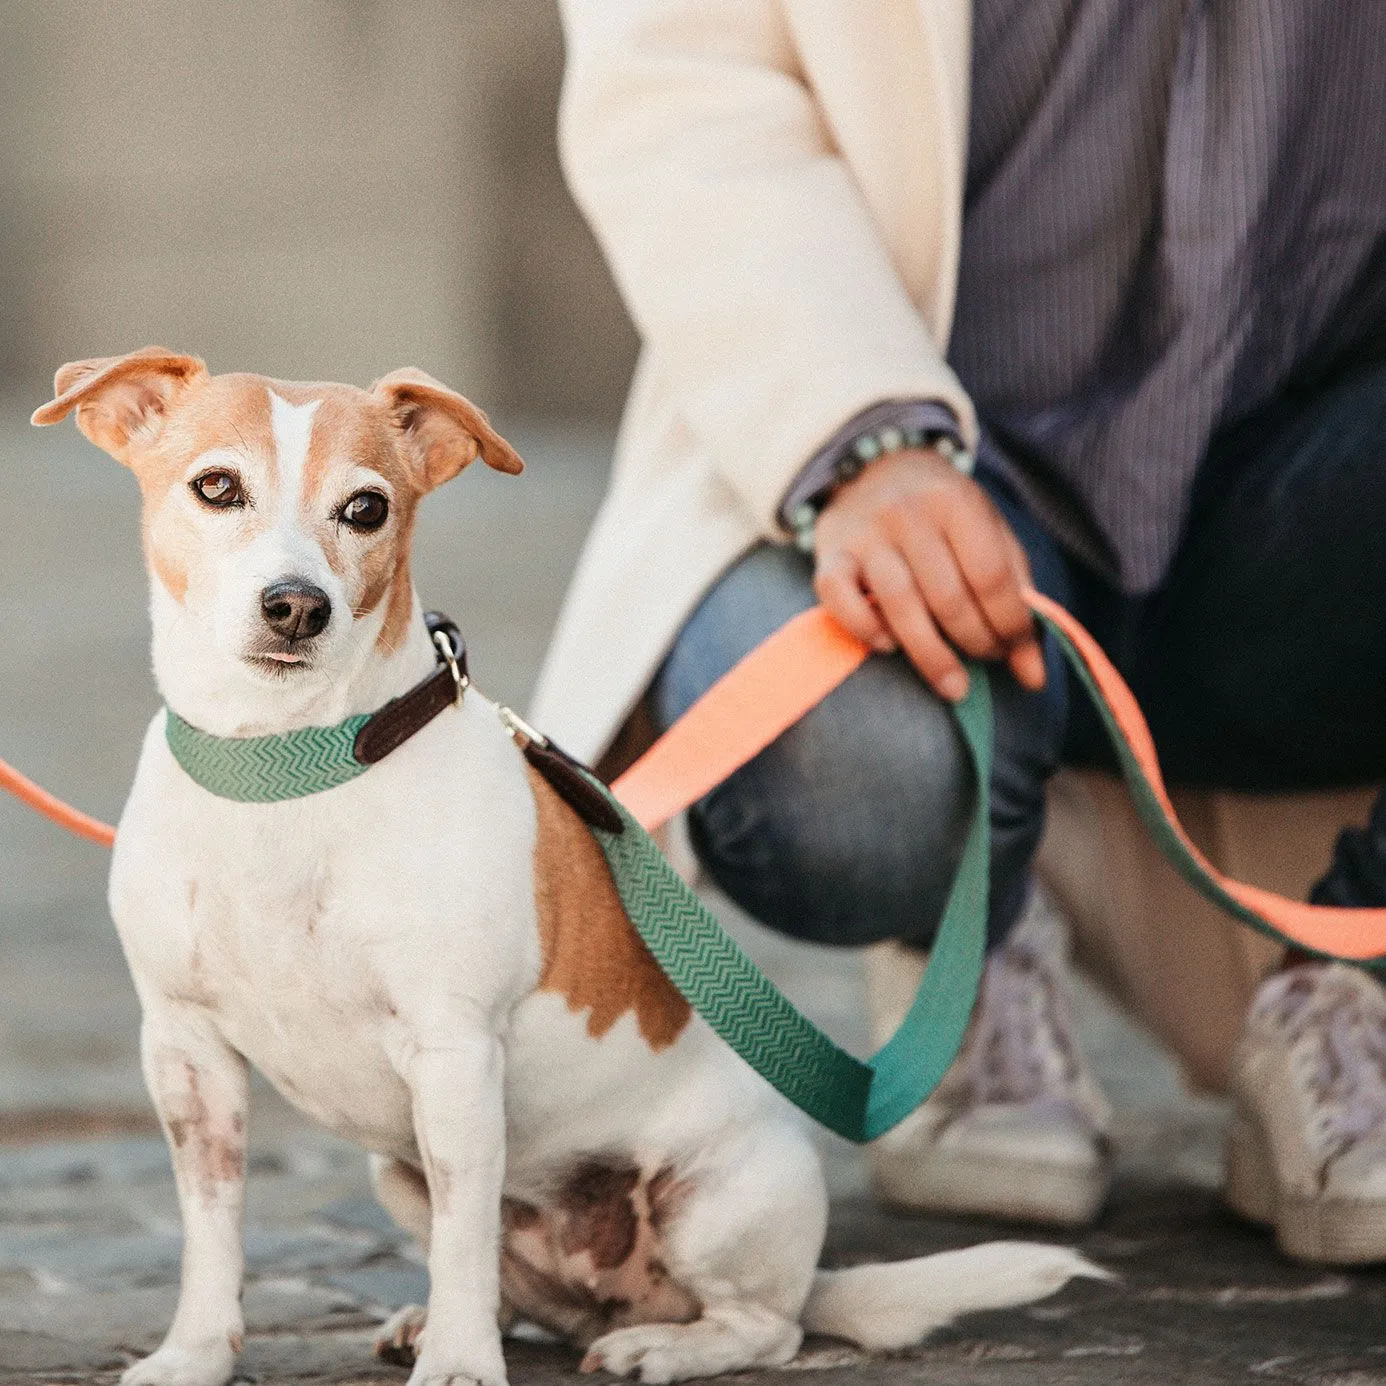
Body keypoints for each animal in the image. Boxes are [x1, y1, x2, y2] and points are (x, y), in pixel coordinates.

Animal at [32, 349, 1103, 1386]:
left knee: (764, 1328)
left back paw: (663, 1347)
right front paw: (195, 1357)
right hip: (400, 1175)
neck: (288, 765)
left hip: (714, 1199)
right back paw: (440, 1322)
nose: (297, 605)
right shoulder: (186, 1055)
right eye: (216, 487)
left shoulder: (455, 1057)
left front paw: (462, 1371)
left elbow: (465, 1237)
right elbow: (215, 1234)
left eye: (366, 508)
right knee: (515, 1285)